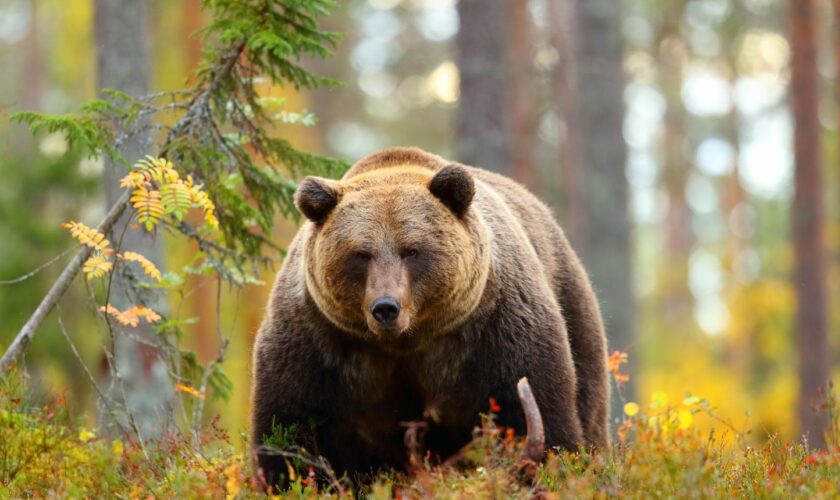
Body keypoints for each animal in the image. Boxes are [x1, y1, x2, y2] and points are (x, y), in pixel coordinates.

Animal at [249, 146, 612, 482]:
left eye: (411, 250)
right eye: (361, 254)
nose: (385, 307)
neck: (406, 341)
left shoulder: (496, 330)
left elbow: (536, 412)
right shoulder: (318, 344)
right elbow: (290, 427)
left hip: (573, 307)